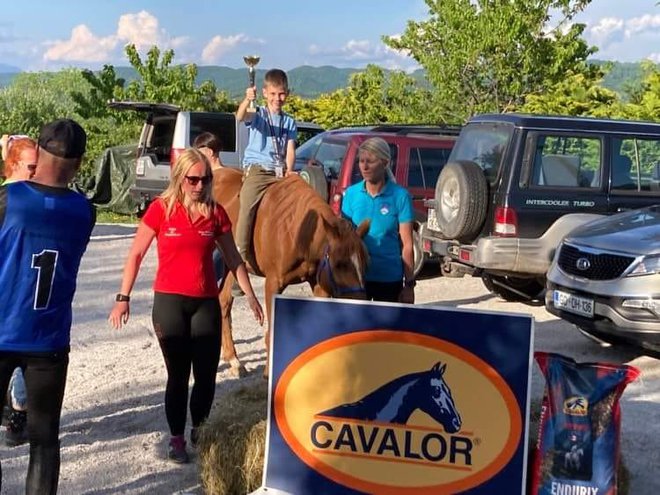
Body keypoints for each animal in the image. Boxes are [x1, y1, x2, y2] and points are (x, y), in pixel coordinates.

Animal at [213, 169, 368, 378]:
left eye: (365, 263)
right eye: (339, 264)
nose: (360, 304)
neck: (299, 231)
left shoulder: (319, 285)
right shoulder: (273, 283)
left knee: (223, 302)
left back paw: (233, 359)